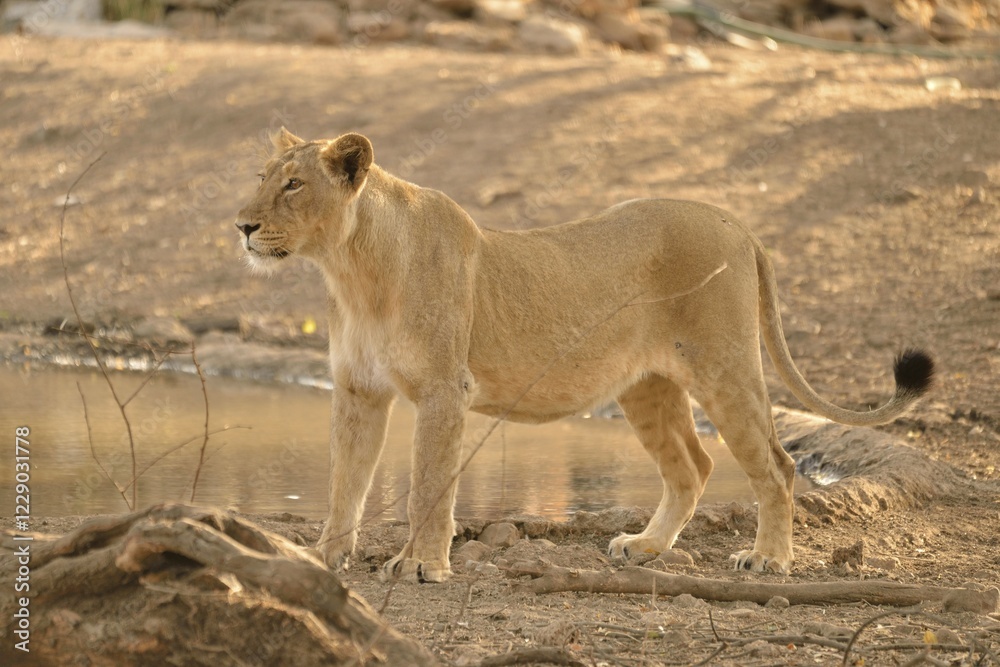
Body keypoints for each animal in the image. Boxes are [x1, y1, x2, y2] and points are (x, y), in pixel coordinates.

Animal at [235, 128, 933, 582]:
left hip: (726, 367)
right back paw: (646, 548)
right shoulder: (358, 391)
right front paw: (323, 558)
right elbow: (344, 483)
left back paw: (768, 559)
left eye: (293, 184)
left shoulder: (442, 391)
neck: (350, 270)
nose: (240, 225)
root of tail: (737, 223)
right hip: (646, 386)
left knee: (779, 466)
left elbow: (427, 484)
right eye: (262, 179)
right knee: (694, 466)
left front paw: (422, 567)